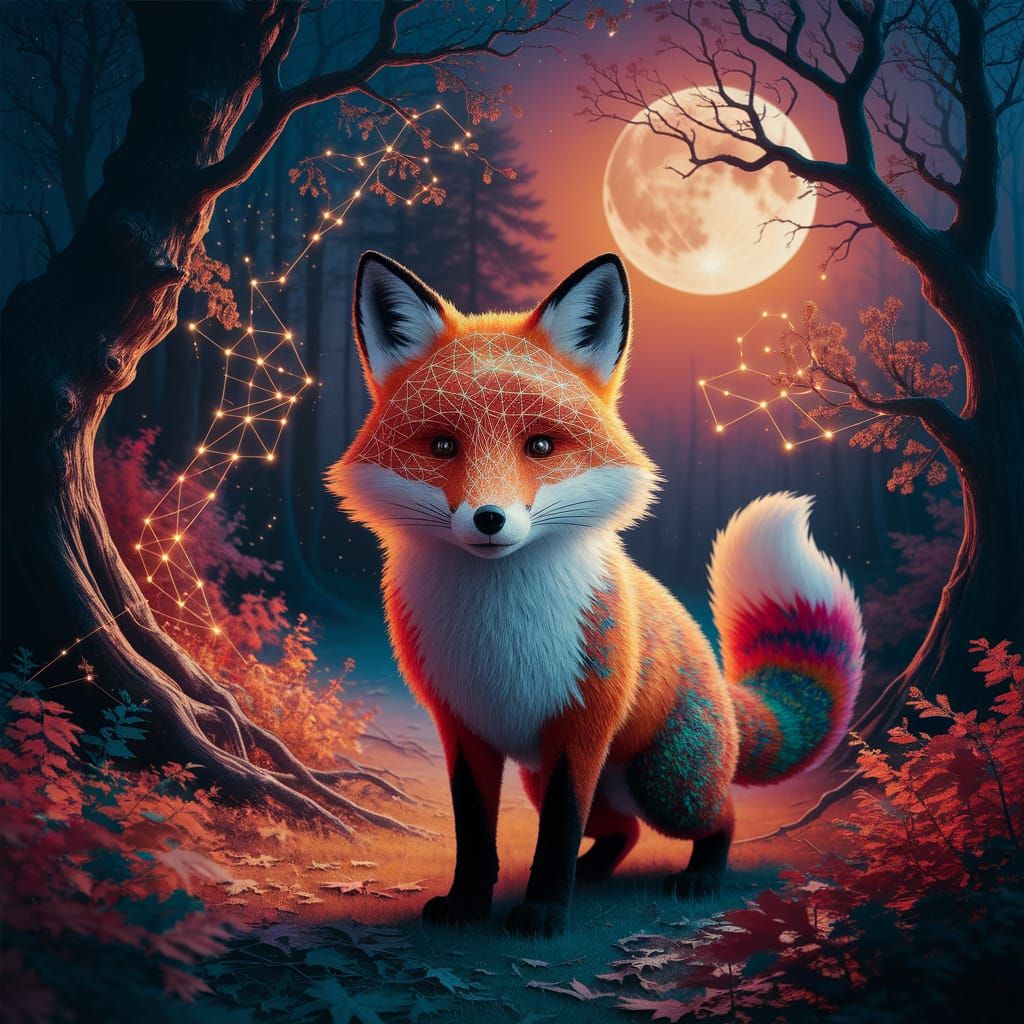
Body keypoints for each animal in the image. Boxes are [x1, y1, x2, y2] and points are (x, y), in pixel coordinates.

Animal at [327, 251, 864, 938]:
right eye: (443, 445)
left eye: (541, 446)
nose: (489, 519)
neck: (498, 633)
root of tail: (718, 680)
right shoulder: (463, 728)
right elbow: (475, 835)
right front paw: (469, 904)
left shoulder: (580, 728)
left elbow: (557, 835)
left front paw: (543, 913)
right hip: (567, 782)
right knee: (624, 832)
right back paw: (597, 874)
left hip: (667, 786)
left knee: (720, 818)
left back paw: (699, 879)